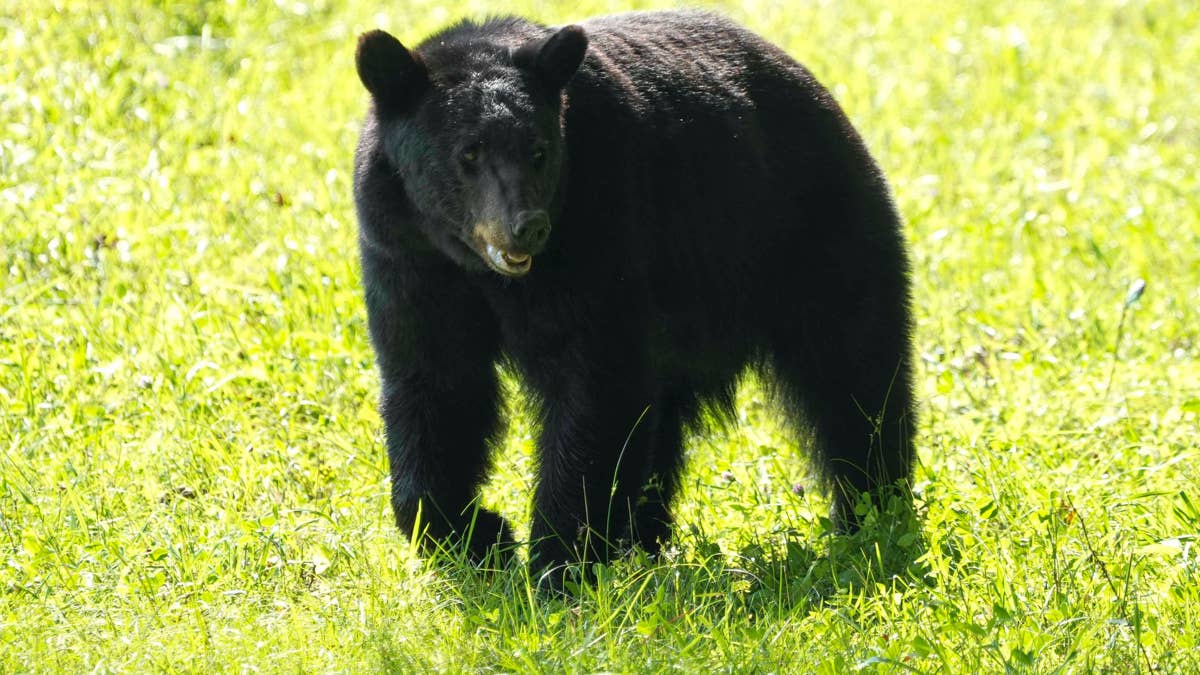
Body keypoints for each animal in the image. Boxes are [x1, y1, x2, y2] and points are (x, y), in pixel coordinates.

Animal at [352, 10, 916, 576]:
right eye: (468, 152)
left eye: (538, 151)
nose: (527, 227)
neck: (473, 264)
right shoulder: (406, 258)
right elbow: (434, 383)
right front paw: (478, 538)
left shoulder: (598, 226)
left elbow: (593, 383)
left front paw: (558, 560)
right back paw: (643, 537)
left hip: (810, 237)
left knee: (854, 375)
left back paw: (872, 513)